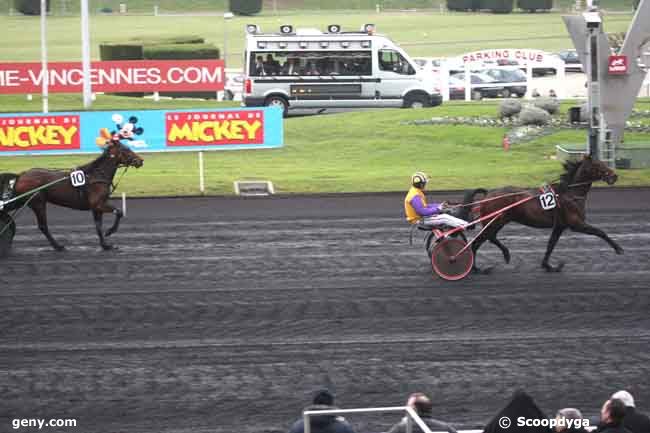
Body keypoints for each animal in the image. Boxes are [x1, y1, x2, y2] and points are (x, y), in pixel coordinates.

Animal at [6, 138, 141, 251]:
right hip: (37, 203)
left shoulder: (96, 207)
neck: (95, 175)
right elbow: (119, 212)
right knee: (43, 226)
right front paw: (110, 231)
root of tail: (21, 175)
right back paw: (58, 246)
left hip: (24, 201)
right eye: (126, 149)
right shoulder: (98, 204)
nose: (140, 160)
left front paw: (105, 245)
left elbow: (98, 226)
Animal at [464, 154, 620, 272]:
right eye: (599, 165)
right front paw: (618, 248)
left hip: (498, 222)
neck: (570, 193)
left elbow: (551, 244)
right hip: (494, 222)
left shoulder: (559, 226)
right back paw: (476, 268)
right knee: (477, 242)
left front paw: (548, 266)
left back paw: (504, 255)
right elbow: (600, 232)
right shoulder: (576, 224)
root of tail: (488, 194)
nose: (614, 176)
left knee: (490, 238)